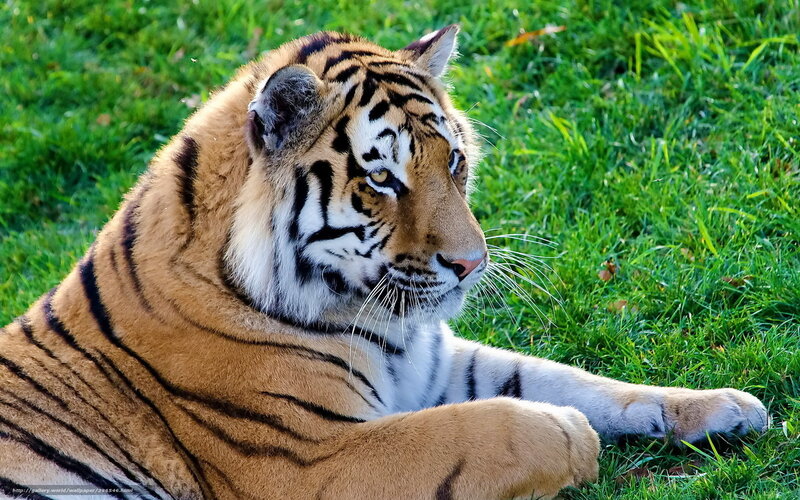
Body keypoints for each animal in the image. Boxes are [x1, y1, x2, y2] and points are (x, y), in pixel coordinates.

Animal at [0, 25, 768, 500]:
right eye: (383, 179)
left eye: (453, 160)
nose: (472, 264)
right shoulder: (304, 461)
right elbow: (490, 425)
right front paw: (567, 434)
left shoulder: (432, 360)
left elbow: (578, 380)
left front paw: (725, 406)